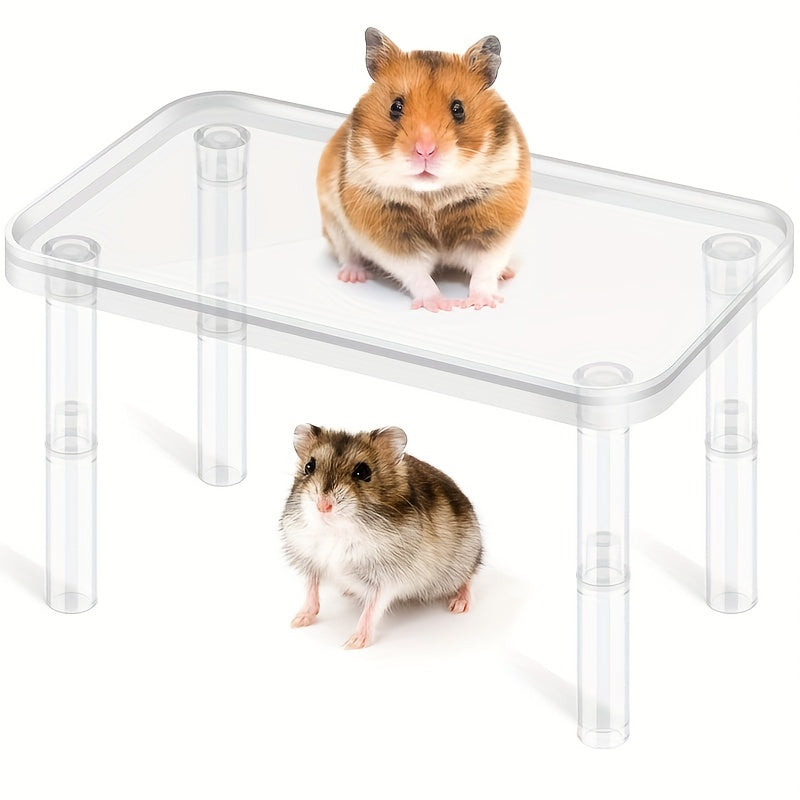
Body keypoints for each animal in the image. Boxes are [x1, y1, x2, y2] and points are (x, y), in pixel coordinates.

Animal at [279, 424, 483, 649]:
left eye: (363, 472)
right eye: (309, 466)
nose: (323, 506)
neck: (336, 531)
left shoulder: (386, 578)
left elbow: (372, 608)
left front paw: (354, 643)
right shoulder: (311, 560)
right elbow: (311, 589)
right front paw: (298, 621)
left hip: (465, 556)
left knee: (469, 577)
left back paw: (459, 604)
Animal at [317, 28, 531, 312]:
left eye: (458, 109)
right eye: (395, 106)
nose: (425, 151)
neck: (433, 196)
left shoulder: (495, 226)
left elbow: (485, 270)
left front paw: (481, 304)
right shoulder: (389, 235)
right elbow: (417, 274)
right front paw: (442, 305)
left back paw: (507, 273)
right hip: (333, 224)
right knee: (347, 254)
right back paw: (353, 276)